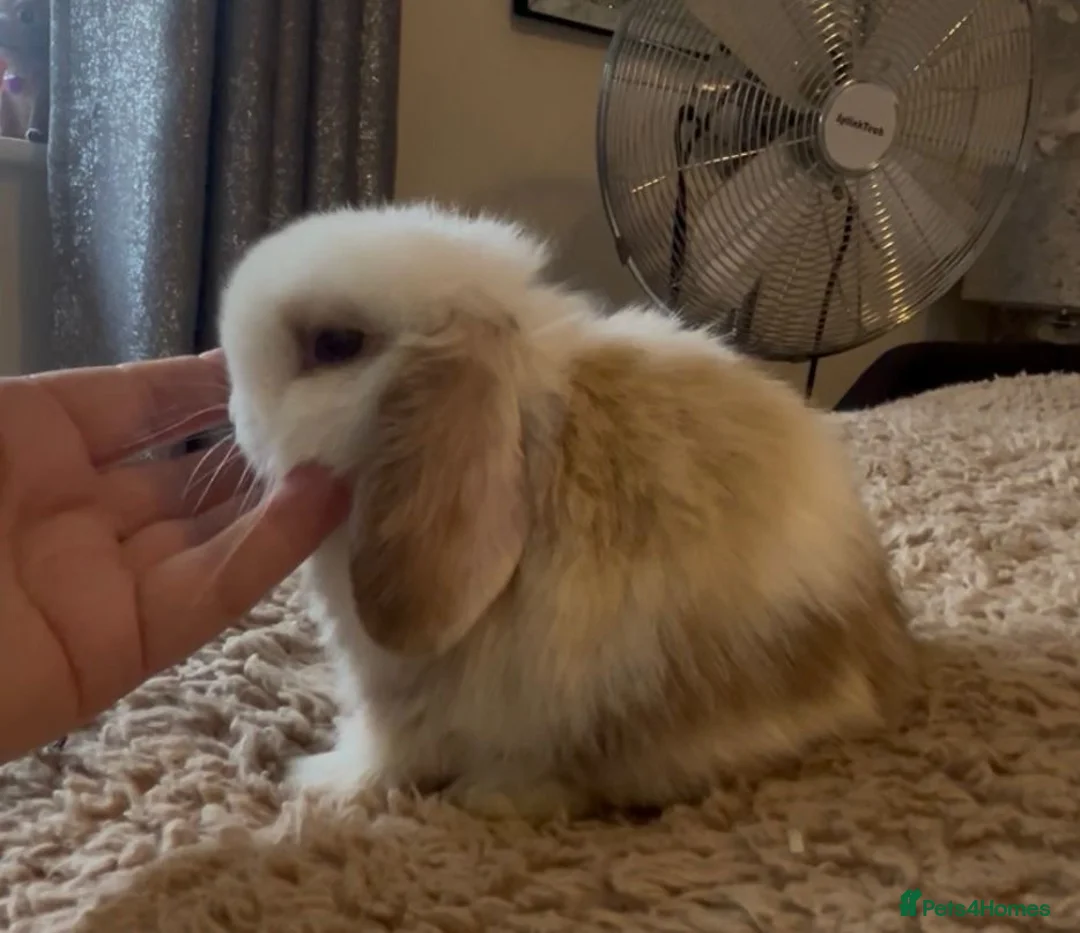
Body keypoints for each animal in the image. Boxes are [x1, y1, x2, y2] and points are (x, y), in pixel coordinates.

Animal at [218, 201, 921, 821]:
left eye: (335, 344)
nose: (232, 407)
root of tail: (879, 673)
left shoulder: (399, 689)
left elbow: (386, 750)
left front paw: (320, 782)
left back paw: (492, 796)